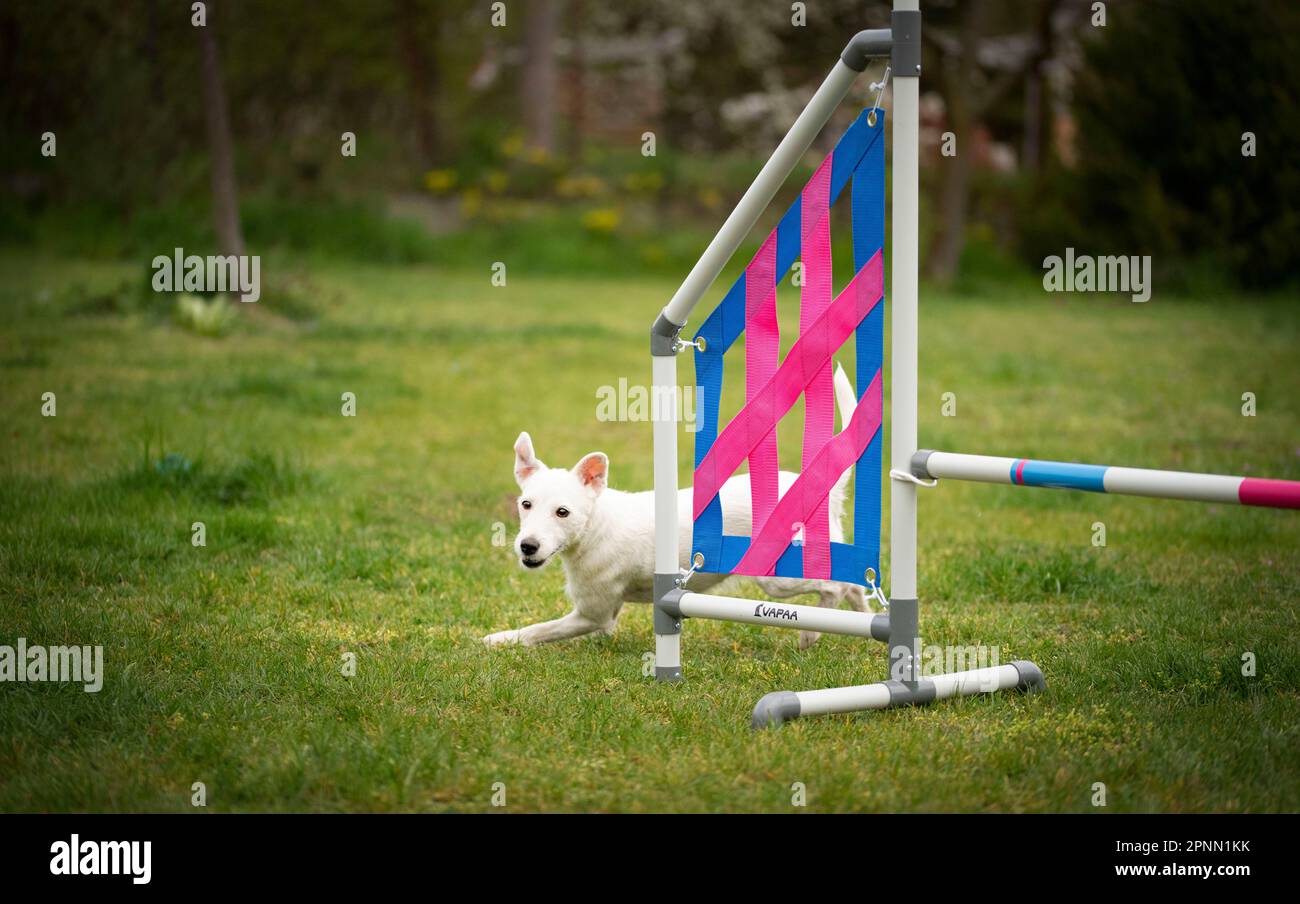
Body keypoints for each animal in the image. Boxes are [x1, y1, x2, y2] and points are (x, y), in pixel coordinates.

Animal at [488, 361, 873, 650]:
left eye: (563, 512)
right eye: (525, 504)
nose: (527, 546)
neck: (594, 526)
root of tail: (826, 489)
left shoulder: (592, 614)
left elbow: (536, 630)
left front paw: (498, 640)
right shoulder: (602, 617)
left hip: (776, 577)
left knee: (834, 588)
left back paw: (810, 633)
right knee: (853, 586)